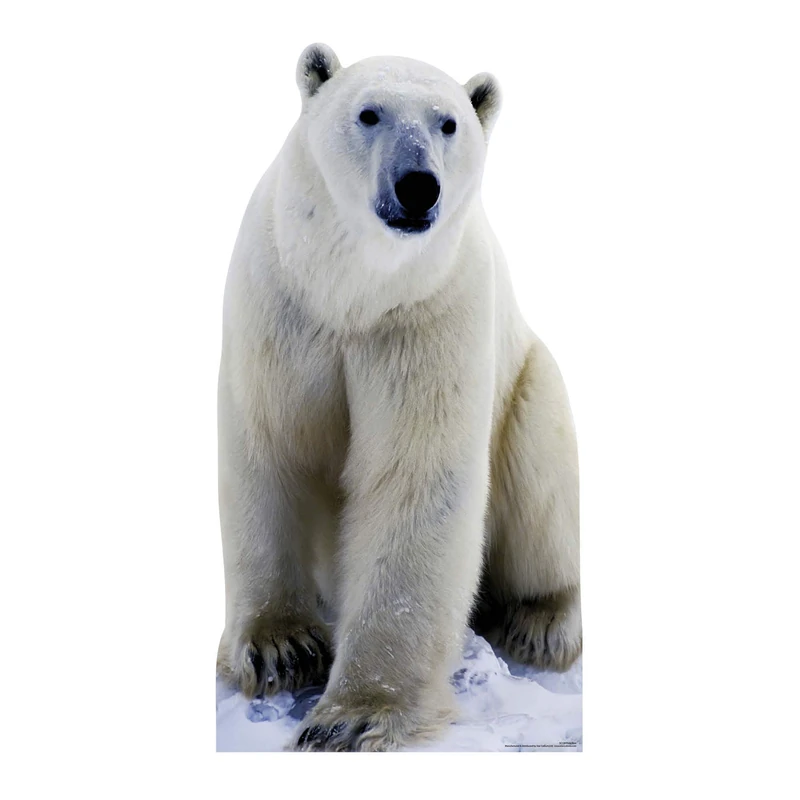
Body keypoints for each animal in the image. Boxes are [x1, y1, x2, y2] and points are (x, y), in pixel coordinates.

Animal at [216, 43, 581, 752]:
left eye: (449, 123)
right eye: (369, 113)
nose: (417, 185)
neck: (354, 292)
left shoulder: (427, 315)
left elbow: (413, 479)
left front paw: (353, 715)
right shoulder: (282, 305)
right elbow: (269, 446)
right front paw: (281, 648)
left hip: (529, 385)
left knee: (543, 479)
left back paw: (540, 622)